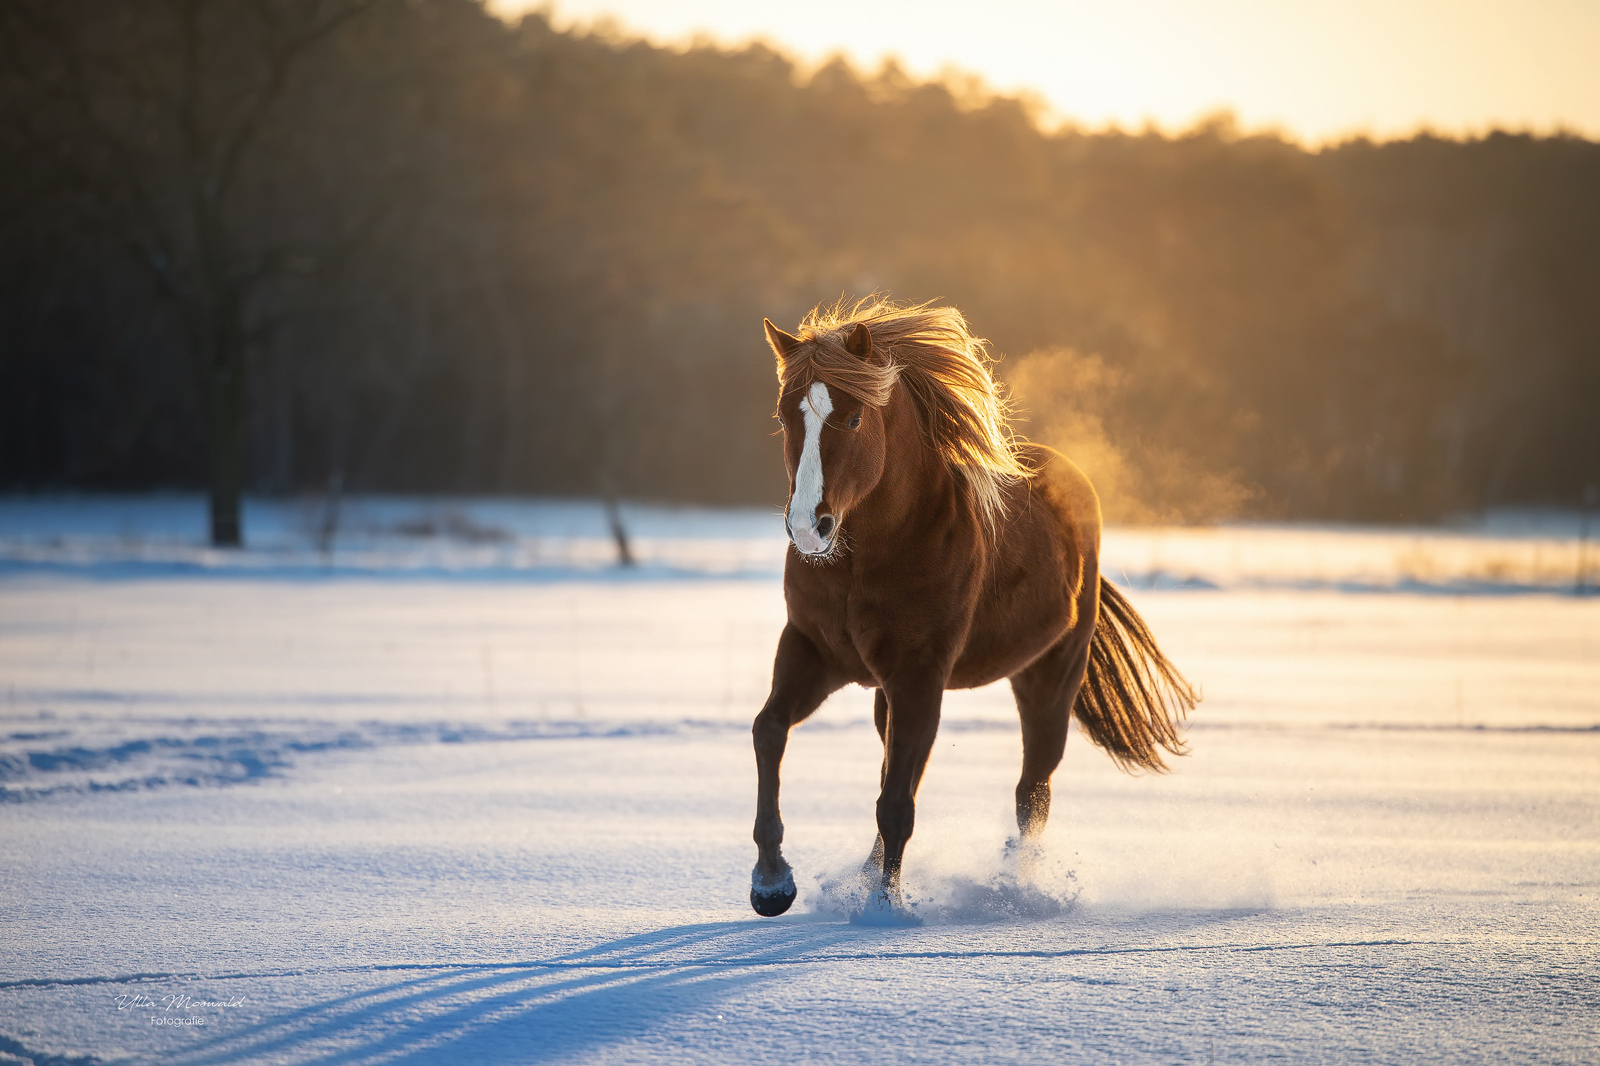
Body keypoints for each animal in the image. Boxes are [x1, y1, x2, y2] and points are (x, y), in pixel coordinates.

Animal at [745, 299, 1190, 915]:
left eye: (854, 419)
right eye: (786, 416)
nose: (810, 528)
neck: (871, 557)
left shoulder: (920, 674)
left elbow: (896, 804)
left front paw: (882, 913)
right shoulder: (814, 651)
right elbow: (769, 732)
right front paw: (771, 884)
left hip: (1049, 679)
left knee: (1032, 794)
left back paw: (1015, 890)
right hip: (893, 693)